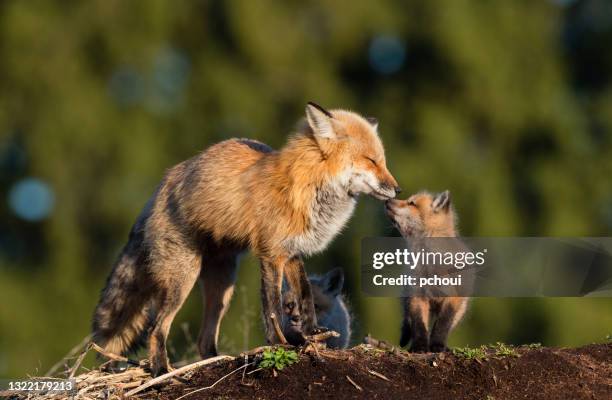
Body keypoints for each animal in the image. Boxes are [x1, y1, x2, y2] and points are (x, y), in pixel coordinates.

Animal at [89, 102, 396, 376]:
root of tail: (162, 184)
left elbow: (305, 293)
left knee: (203, 340)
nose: (397, 189)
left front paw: (310, 333)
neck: (307, 186)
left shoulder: (292, 252)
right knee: (156, 329)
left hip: (222, 287)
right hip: (183, 279)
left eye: (383, 160)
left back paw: (214, 363)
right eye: (371, 160)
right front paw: (279, 343)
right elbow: (272, 306)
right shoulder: (271, 253)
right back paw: (160, 371)